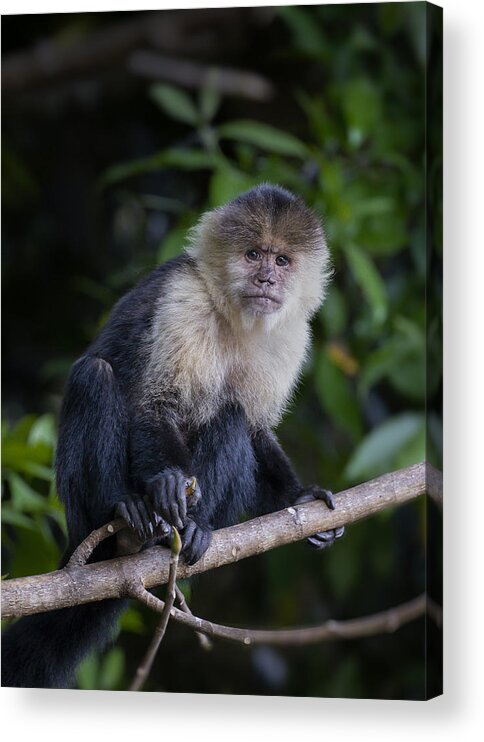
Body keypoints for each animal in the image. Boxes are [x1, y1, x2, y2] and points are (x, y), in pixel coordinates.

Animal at [1, 185, 342, 692]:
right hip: (80, 513)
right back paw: (126, 517)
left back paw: (193, 529)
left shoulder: (292, 336)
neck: (235, 316)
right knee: (95, 376)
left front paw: (300, 495)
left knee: (231, 415)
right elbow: (154, 402)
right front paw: (166, 481)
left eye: (282, 260)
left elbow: (255, 428)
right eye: (253, 255)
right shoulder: (183, 299)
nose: (266, 278)